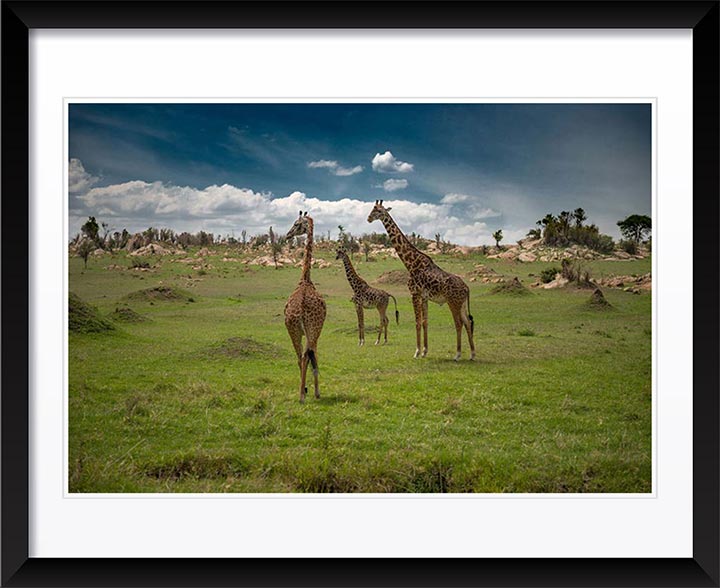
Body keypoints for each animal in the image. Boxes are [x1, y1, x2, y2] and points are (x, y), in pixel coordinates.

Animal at [367, 200, 475, 361]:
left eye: (379, 211)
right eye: (372, 209)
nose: (368, 218)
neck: (411, 264)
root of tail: (467, 288)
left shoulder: (414, 294)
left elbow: (417, 322)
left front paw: (417, 352)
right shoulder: (424, 297)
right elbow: (425, 322)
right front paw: (424, 351)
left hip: (453, 302)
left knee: (459, 323)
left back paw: (457, 354)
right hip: (461, 304)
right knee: (467, 322)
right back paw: (472, 354)